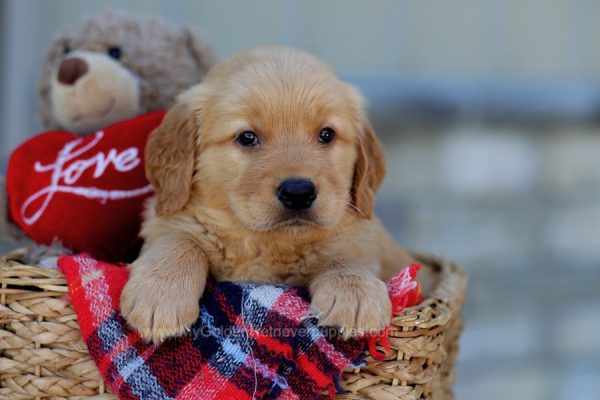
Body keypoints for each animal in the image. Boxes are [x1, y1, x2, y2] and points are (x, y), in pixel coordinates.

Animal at [121, 46, 412, 340]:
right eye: (247, 137)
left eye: (327, 134)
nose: (298, 192)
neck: (265, 243)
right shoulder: (166, 218)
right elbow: (180, 239)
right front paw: (160, 294)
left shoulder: (359, 235)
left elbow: (345, 254)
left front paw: (354, 291)